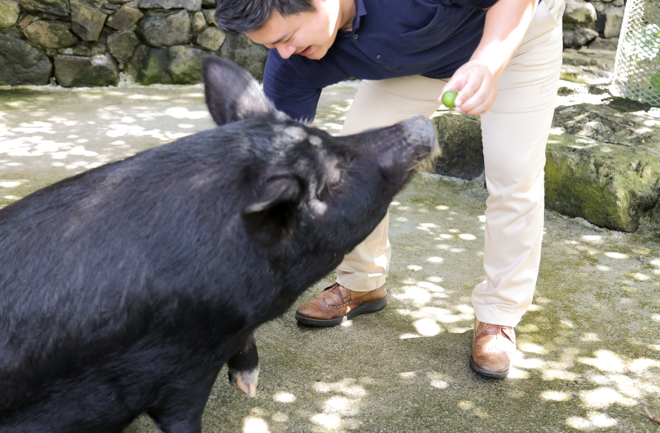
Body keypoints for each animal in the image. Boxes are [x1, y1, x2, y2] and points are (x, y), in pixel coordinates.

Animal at [0, 57, 434, 432]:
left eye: (324, 135)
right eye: (336, 175)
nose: (421, 123)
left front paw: (250, 388)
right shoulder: (180, 365)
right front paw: (250, 391)